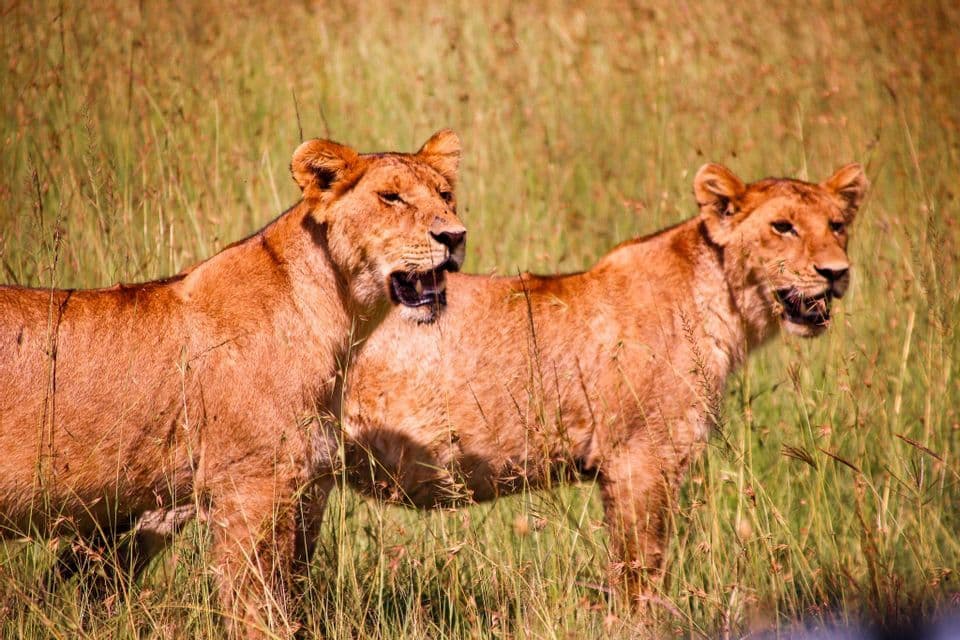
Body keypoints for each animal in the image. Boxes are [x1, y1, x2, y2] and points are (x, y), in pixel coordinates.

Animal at [0, 129, 466, 637]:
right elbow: (256, 603)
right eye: (391, 197)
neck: (338, 318)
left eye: (445, 196)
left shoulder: (303, 485)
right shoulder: (252, 485)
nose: (454, 236)